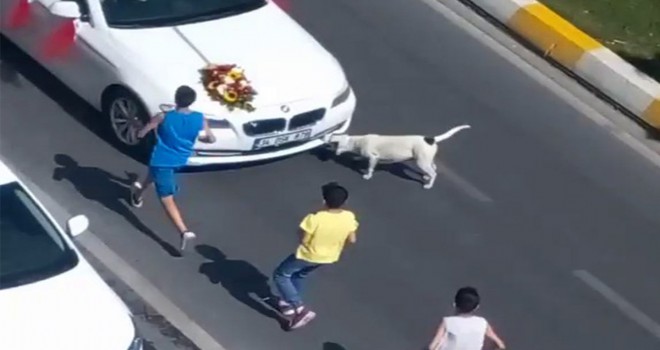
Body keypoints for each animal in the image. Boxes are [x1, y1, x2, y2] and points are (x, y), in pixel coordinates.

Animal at [324, 124, 470, 187]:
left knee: (434, 173)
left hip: (421, 162)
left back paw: (428, 184)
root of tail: (431, 139)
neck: (356, 141)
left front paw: (367, 175)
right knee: (434, 168)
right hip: (427, 159)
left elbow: (370, 167)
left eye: (330, 139)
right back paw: (426, 177)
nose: (324, 138)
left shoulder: (373, 157)